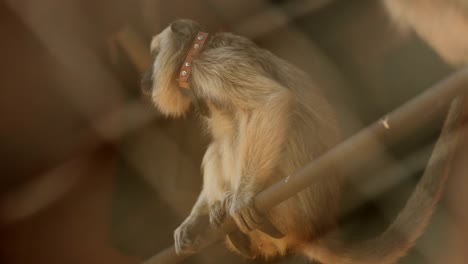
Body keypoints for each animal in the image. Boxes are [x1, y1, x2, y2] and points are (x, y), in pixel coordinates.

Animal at [143, 19, 460, 264]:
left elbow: (272, 101)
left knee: (239, 126)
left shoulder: (211, 67)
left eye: (154, 53)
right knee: (219, 143)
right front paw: (193, 220)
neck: (197, 52)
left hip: (292, 209)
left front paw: (242, 197)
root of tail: (314, 228)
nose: (145, 77)